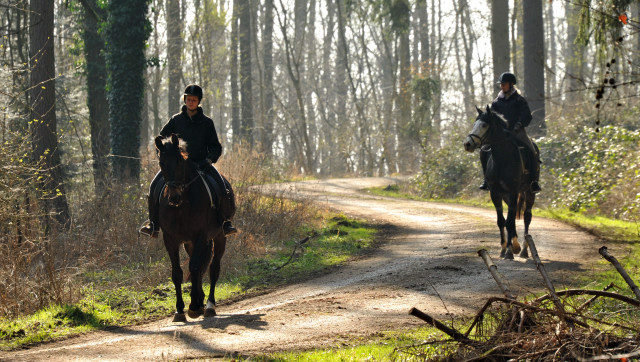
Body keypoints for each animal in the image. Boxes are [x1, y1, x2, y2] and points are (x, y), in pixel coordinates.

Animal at [156, 134, 230, 320]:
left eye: (180, 162)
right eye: (161, 163)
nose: (174, 197)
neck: (182, 205)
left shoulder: (201, 236)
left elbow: (195, 267)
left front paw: (195, 306)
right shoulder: (171, 239)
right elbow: (178, 273)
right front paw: (179, 309)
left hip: (219, 237)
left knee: (212, 269)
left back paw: (209, 305)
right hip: (190, 243)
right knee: (201, 268)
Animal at [464, 106, 536, 258]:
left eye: (484, 125)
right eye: (475, 123)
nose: (467, 144)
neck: (503, 159)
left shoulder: (513, 192)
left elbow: (509, 221)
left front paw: (509, 251)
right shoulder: (495, 193)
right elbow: (502, 221)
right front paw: (504, 248)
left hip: (529, 192)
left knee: (527, 217)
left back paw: (524, 250)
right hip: (506, 196)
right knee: (512, 218)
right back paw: (516, 245)